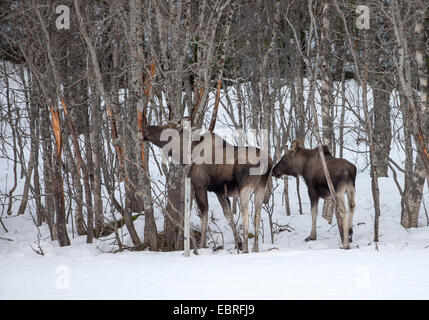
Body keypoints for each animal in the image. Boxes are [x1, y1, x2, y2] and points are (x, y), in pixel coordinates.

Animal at [142, 124, 272, 254]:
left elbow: (204, 214)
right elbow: (229, 217)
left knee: (246, 214)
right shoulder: (220, 192)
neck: (185, 155)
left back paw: (246, 249)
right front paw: (238, 244)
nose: (146, 128)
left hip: (245, 186)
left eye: (165, 127)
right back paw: (255, 248)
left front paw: (201, 246)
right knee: (257, 214)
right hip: (261, 186)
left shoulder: (200, 186)